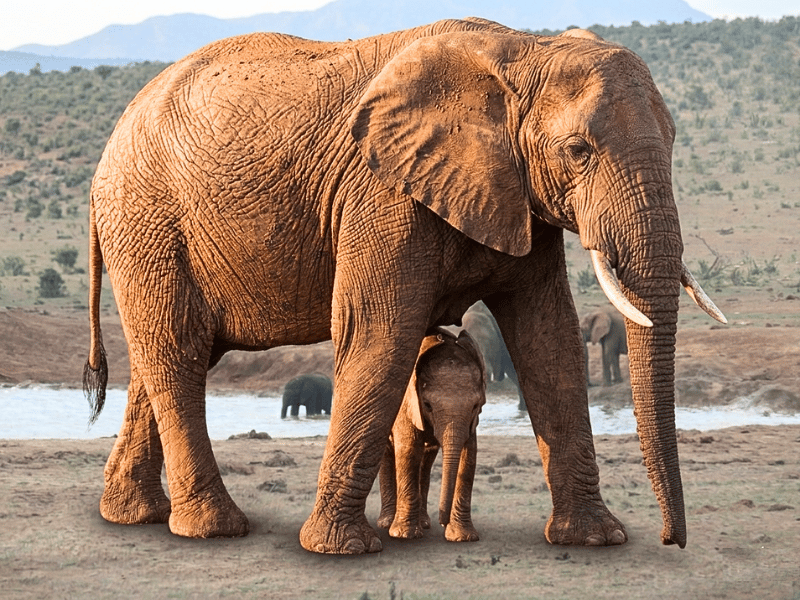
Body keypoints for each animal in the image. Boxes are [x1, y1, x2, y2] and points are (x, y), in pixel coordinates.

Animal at [378, 328, 486, 542]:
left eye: (475, 406)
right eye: (427, 405)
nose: (442, 521)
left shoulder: (472, 421)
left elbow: (469, 455)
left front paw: (462, 538)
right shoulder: (406, 405)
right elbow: (409, 451)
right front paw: (405, 535)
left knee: (426, 460)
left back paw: (424, 523)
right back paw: (386, 523)